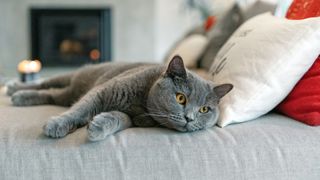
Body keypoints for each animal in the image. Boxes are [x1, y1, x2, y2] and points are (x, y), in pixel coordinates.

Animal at [6, 55, 232, 141]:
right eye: (181, 98)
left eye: (204, 110)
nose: (190, 118)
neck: (142, 105)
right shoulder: (102, 91)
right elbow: (80, 109)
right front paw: (57, 124)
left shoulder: (133, 119)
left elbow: (120, 119)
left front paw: (99, 126)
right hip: (76, 76)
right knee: (46, 83)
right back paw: (15, 90)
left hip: (67, 93)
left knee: (53, 95)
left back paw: (22, 96)